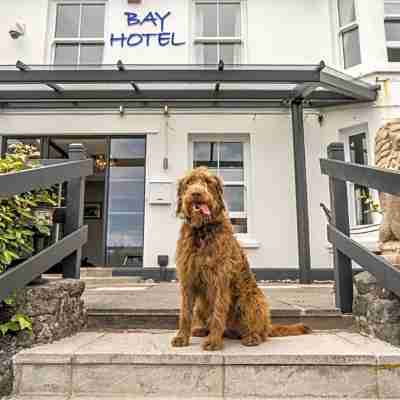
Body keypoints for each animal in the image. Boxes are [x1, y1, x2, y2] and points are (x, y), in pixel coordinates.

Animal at [170, 166, 310, 350]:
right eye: (189, 182)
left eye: (207, 182)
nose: (196, 193)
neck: (202, 231)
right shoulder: (188, 279)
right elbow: (185, 312)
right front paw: (182, 337)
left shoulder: (220, 279)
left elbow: (218, 312)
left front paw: (214, 341)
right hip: (202, 305)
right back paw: (202, 330)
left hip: (251, 299)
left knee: (259, 332)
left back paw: (251, 337)